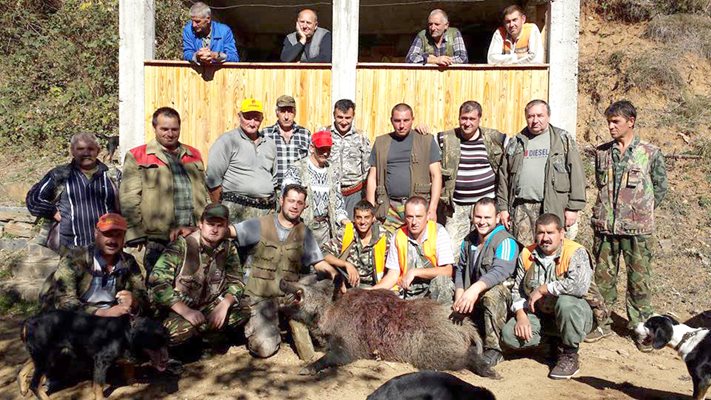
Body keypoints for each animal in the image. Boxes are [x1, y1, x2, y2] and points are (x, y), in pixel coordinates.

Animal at [21, 310, 169, 398]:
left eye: (166, 341)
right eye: (155, 342)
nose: (166, 360)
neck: (125, 332)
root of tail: (30, 319)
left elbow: (129, 370)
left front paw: (133, 383)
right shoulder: (101, 361)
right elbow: (99, 386)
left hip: (46, 354)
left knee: (23, 368)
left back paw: (22, 387)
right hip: (45, 358)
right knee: (34, 384)